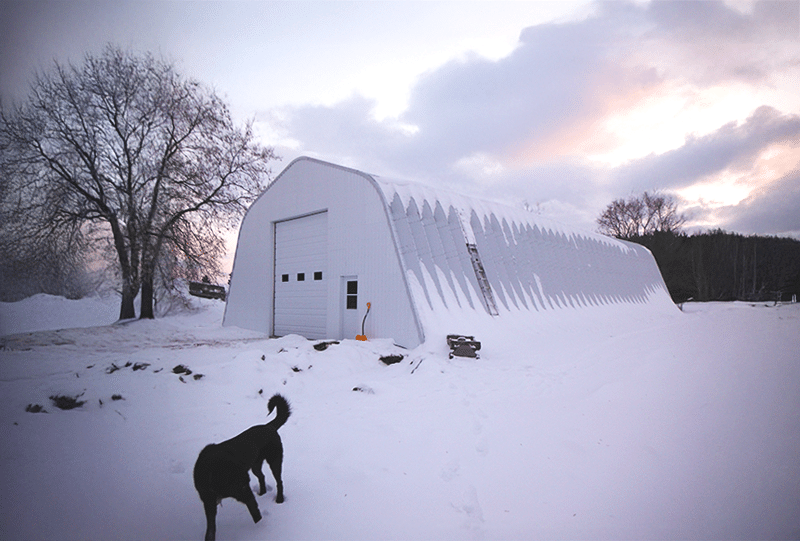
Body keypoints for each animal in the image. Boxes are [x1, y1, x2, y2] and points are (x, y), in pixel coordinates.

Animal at [192, 392, 292, 540]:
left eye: (246, 484)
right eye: (239, 485)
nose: (254, 501)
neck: (211, 472)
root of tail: (268, 426)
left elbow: (254, 513)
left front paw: (259, 527)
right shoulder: (209, 502)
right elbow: (210, 529)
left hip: (274, 461)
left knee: (279, 481)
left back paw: (279, 499)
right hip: (255, 465)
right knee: (261, 476)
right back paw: (262, 493)